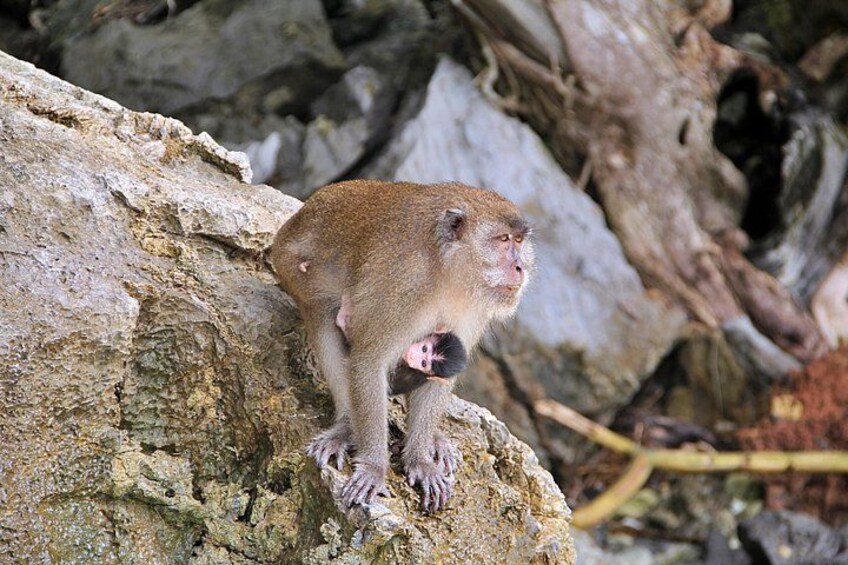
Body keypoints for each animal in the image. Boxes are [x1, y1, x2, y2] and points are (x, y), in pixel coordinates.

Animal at [269, 180, 533, 512]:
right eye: (503, 239)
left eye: (520, 241)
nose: (521, 267)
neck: (445, 269)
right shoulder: (404, 284)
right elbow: (369, 361)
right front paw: (374, 467)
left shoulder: (472, 309)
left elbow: (441, 373)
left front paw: (420, 458)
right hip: (293, 268)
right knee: (324, 319)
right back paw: (347, 425)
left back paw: (432, 440)